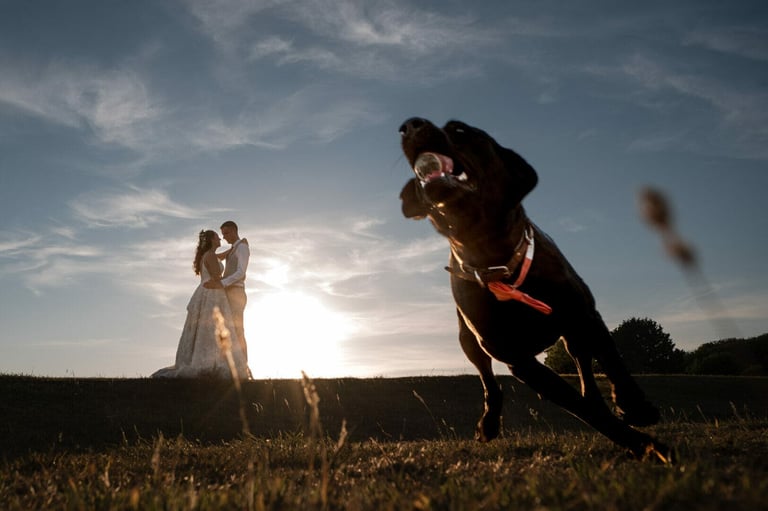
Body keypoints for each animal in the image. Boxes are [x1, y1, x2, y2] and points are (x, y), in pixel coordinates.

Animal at [400, 118, 668, 462]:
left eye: (460, 130)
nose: (409, 126)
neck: (497, 259)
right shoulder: (519, 359)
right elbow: (584, 411)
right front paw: (646, 445)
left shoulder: (584, 313)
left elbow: (612, 359)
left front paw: (636, 408)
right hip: (468, 339)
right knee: (489, 381)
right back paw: (489, 423)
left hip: (570, 333)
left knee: (583, 362)